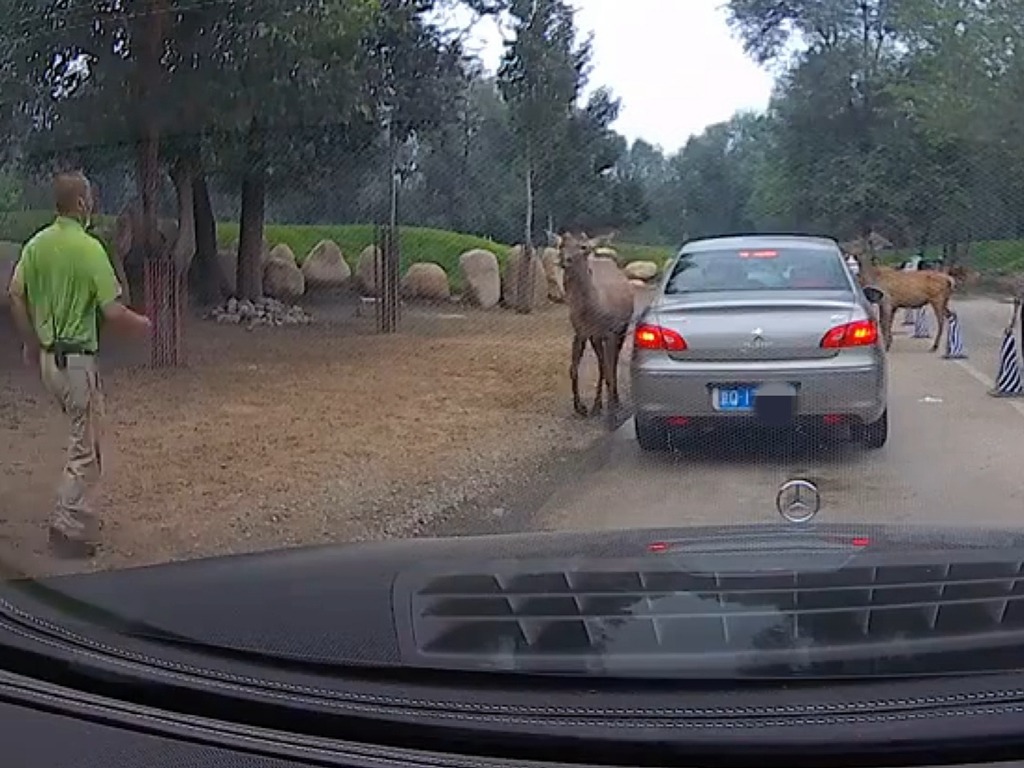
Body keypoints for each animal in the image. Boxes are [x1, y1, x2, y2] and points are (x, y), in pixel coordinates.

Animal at [548, 230, 634, 421]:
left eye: (583, 247)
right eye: (561, 244)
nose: (564, 259)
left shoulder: (612, 332)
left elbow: (611, 370)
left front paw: (613, 414)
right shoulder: (580, 332)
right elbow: (573, 369)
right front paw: (581, 408)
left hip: (622, 330)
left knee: (612, 364)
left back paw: (615, 402)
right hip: (596, 338)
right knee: (602, 364)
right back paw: (597, 406)